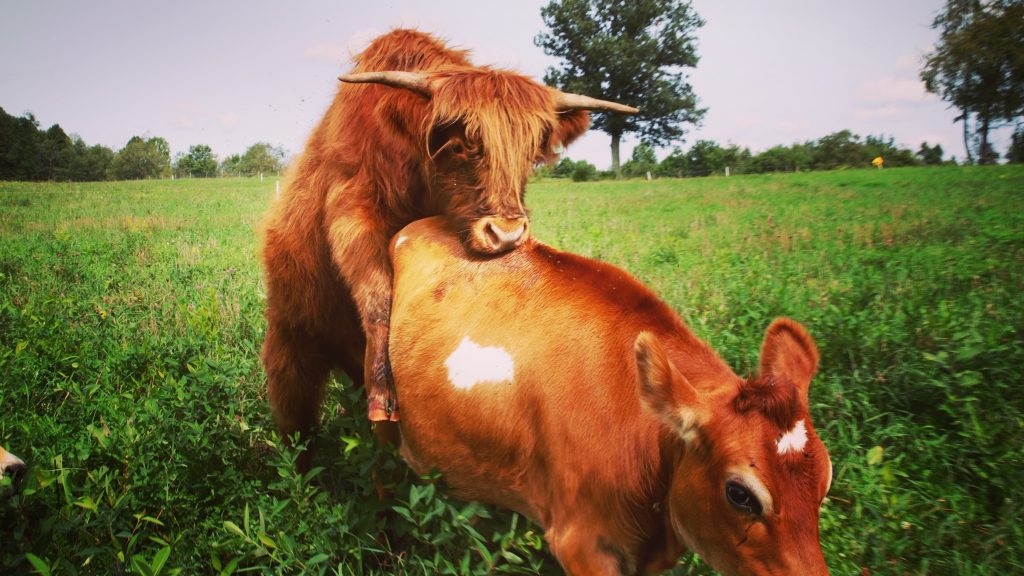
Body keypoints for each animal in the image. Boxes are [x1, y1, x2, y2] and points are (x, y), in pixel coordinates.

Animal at [260, 29, 637, 466]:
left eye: (531, 152)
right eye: (463, 144)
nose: (507, 234)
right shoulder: (350, 204)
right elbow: (377, 295)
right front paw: (385, 393)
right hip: (291, 348)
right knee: (297, 428)